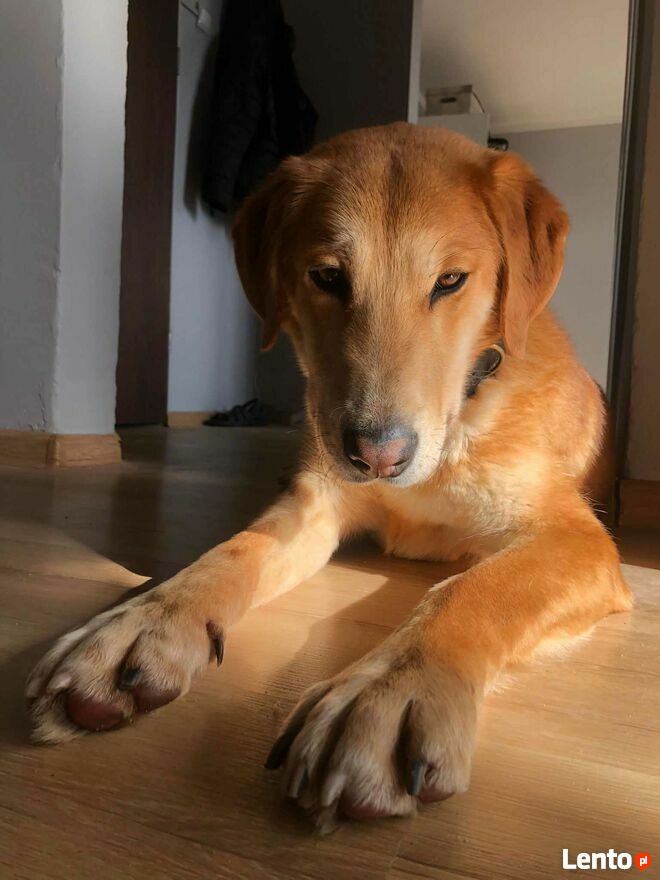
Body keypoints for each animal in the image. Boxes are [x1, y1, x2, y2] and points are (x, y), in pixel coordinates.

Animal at [27, 123, 632, 828]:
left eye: (451, 280)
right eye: (327, 276)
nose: (377, 456)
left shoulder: (575, 537)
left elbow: (473, 589)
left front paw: (394, 690)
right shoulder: (313, 505)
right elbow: (233, 551)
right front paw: (143, 622)